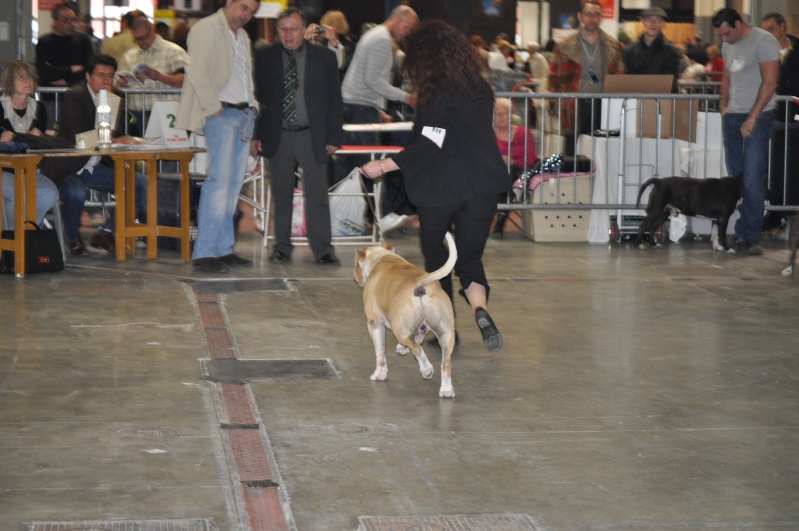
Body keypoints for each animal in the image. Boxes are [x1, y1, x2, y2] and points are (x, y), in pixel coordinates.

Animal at [354, 233, 460, 400]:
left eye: (355, 265)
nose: (355, 277)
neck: (382, 258)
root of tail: (418, 282)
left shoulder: (374, 323)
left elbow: (380, 354)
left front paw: (379, 374)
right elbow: (417, 336)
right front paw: (402, 349)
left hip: (399, 331)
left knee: (417, 350)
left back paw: (426, 369)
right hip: (446, 333)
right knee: (445, 362)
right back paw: (446, 390)